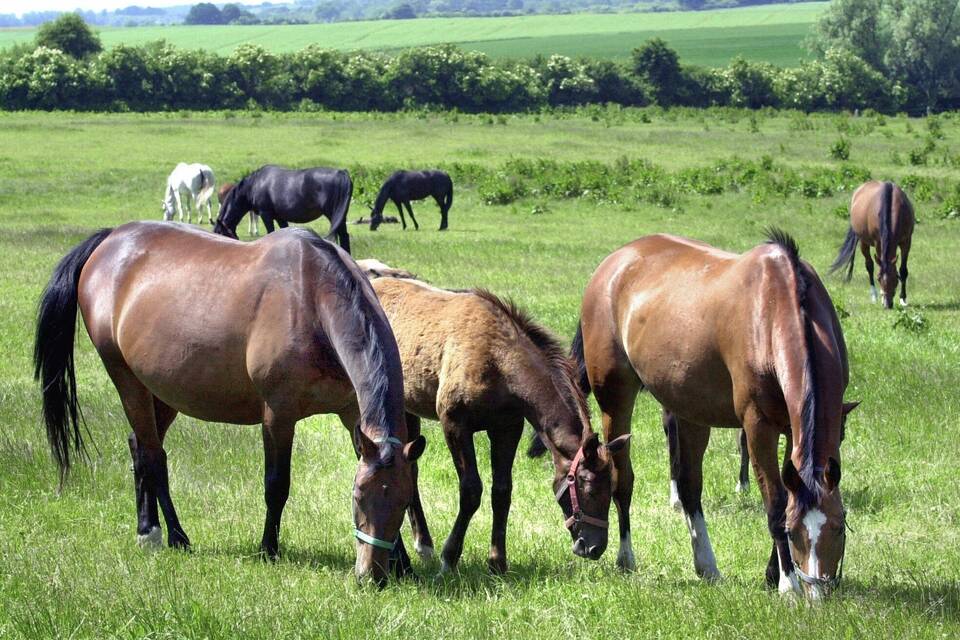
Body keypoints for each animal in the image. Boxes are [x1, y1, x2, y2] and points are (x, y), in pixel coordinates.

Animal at [34, 222, 424, 588]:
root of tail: (110, 239)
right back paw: (173, 536)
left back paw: (147, 529)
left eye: (404, 502)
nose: (372, 576)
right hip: (126, 379)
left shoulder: (351, 414)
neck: (311, 299)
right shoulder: (278, 415)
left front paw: (404, 563)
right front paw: (269, 549)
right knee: (153, 457)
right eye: (357, 498)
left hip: (161, 390)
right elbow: (276, 485)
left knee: (139, 447)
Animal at [214, 165, 352, 255]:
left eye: (220, 233)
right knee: (345, 236)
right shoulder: (280, 217)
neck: (253, 186)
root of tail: (342, 173)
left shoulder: (266, 215)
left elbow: (270, 232)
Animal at [360, 270, 632, 576]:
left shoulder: (507, 428)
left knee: (411, 468)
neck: (498, 362)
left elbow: (502, 492)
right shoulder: (455, 424)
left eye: (611, 488)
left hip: (409, 409)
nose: (595, 547)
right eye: (588, 487)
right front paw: (449, 559)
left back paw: (423, 543)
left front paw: (498, 562)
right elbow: (471, 491)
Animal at [536, 231, 860, 600]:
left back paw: (706, 565)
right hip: (615, 400)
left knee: (689, 487)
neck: (776, 309)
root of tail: (613, 263)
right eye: (794, 533)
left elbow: (790, 492)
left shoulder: (796, 429)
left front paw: (772, 573)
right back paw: (625, 557)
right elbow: (776, 503)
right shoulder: (758, 426)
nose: (819, 595)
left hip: (688, 411)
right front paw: (787, 584)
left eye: (839, 528)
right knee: (623, 479)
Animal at [832, 180, 916, 310]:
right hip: (863, 241)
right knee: (869, 265)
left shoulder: (906, 241)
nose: (887, 304)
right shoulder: (878, 242)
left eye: (896, 278)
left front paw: (903, 299)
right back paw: (874, 295)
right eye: (879, 278)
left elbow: (903, 270)